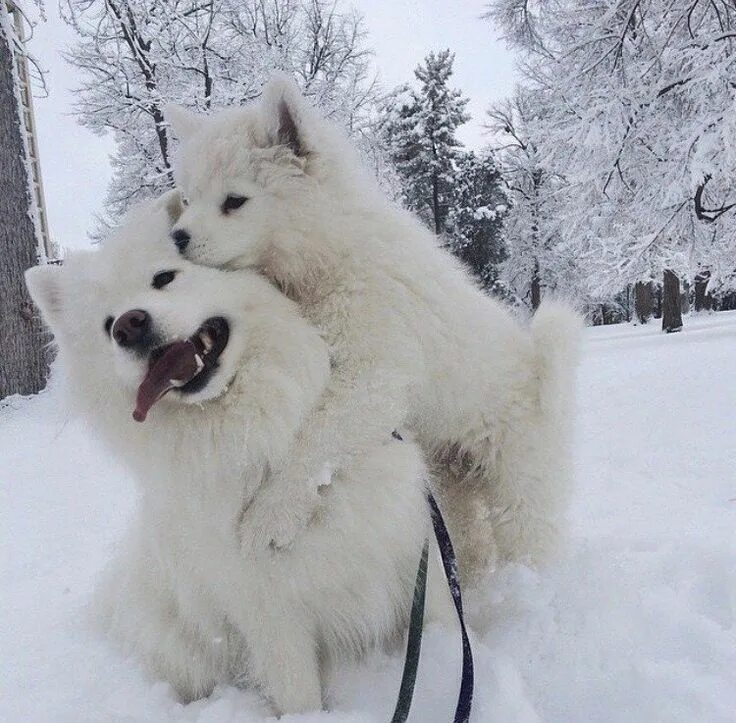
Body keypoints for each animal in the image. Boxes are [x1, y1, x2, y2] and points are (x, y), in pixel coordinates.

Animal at [25, 194, 442, 720]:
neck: (262, 441)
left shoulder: (412, 559)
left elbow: (443, 629)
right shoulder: (267, 611)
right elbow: (298, 696)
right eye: (104, 325)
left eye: (164, 277)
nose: (127, 326)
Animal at [165, 79, 580, 576]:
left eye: (234, 201)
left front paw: (268, 519)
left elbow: (315, 439)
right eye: (188, 199)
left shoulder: (374, 375)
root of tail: (540, 369)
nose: (176, 238)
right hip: (451, 481)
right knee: (471, 540)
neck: (329, 255)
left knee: (530, 534)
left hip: (518, 479)